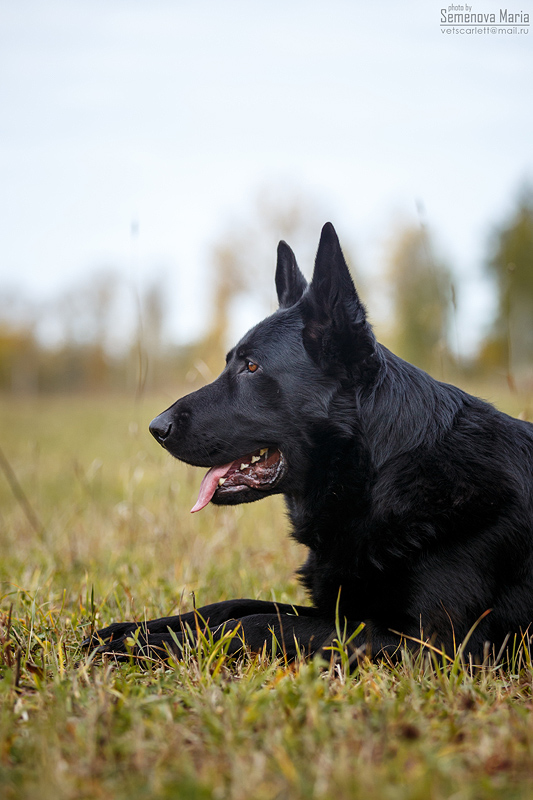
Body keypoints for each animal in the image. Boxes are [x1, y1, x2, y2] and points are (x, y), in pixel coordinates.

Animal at [90, 223, 532, 664]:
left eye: (252, 366)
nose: (156, 427)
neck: (378, 476)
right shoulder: (339, 611)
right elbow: (232, 605)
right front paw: (130, 630)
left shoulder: (431, 645)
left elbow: (253, 622)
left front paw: (145, 645)